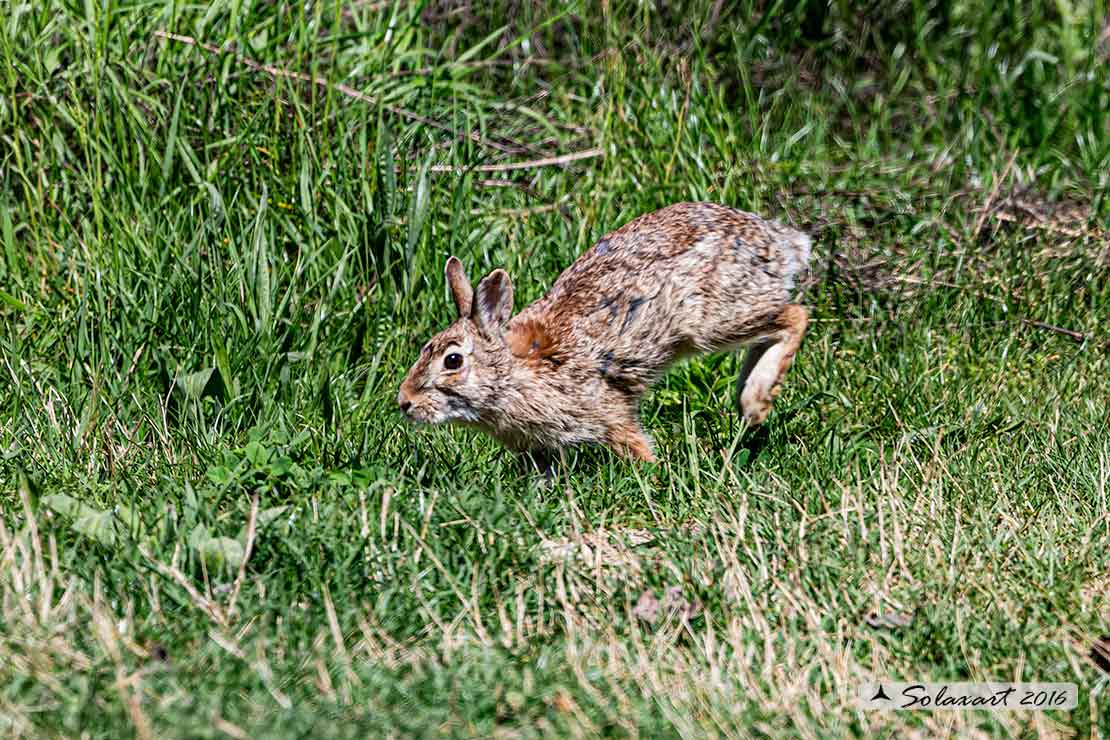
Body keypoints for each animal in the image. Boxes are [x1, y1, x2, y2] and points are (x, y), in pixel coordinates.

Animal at [397, 201, 811, 463]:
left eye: (452, 361)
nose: (405, 403)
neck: (512, 376)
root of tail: (781, 241)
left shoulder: (609, 412)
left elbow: (635, 445)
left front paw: (654, 474)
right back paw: (749, 403)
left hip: (712, 320)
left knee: (795, 314)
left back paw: (755, 401)